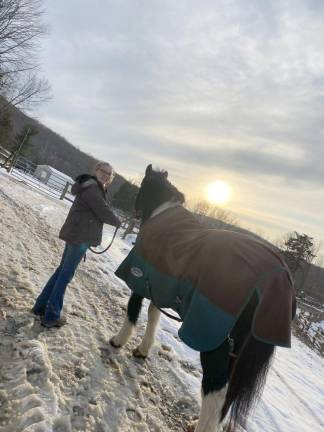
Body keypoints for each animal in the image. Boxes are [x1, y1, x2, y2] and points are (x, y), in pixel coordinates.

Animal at [110, 165, 294, 432]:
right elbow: (153, 316)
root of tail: (275, 280)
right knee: (226, 396)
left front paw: (118, 341)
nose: (128, 204)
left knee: (216, 392)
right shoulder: (159, 285)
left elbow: (132, 312)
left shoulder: (140, 280)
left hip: (214, 342)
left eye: (142, 186)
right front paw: (143, 350)